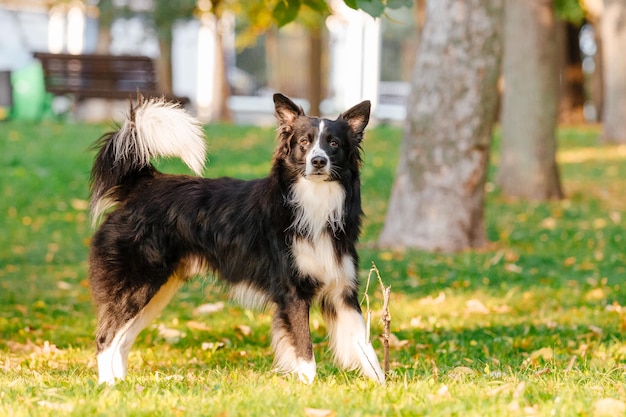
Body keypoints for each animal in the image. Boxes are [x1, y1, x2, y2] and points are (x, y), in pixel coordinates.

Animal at [85, 93, 382, 384]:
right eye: (304, 142)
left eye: (333, 143)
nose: (318, 161)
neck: (312, 203)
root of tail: (142, 184)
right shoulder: (293, 294)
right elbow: (305, 352)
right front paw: (308, 388)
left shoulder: (342, 291)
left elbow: (366, 348)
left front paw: (381, 386)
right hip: (136, 284)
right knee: (105, 338)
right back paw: (108, 385)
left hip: (157, 291)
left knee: (123, 340)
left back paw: (123, 384)